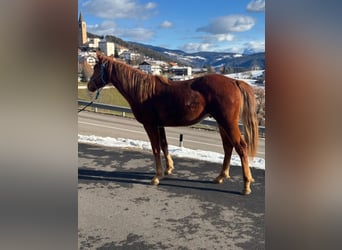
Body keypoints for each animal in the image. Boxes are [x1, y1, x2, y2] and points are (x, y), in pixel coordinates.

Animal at [87, 52, 258, 193]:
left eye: (96, 68)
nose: (89, 86)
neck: (142, 90)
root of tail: (234, 81)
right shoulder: (160, 125)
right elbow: (164, 145)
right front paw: (168, 169)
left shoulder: (150, 125)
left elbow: (156, 149)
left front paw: (157, 176)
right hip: (222, 124)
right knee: (228, 147)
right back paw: (221, 176)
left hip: (228, 123)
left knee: (241, 147)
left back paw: (246, 185)